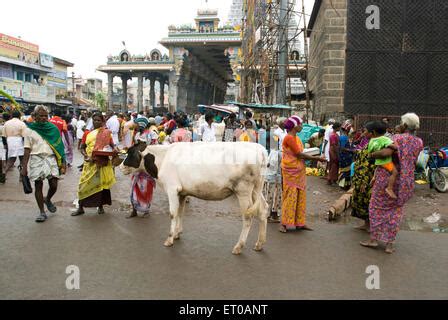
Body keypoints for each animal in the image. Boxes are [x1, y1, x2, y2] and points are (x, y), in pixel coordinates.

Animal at [120, 142, 270, 255]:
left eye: (130, 153)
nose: (120, 166)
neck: (164, 158)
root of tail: (260, 149)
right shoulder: (181, 192)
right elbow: (180, 212)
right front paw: (177, 233)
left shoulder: (172, 189)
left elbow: (173, 214)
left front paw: (169, 239)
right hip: (256, 189)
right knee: (263, 209)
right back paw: (260, 243)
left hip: (243, 190)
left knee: (248, 217)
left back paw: (239, 246)